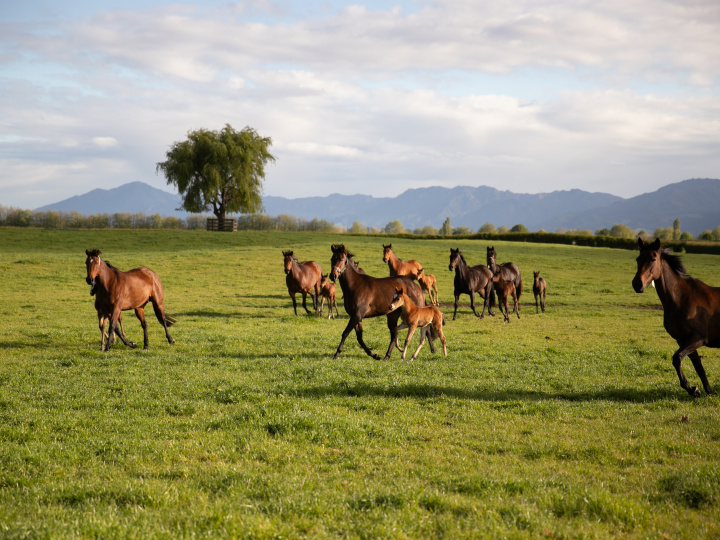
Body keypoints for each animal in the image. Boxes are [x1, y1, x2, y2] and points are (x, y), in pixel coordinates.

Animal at [632, 236, 716, 396]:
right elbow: (698, 366)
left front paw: (692, 388)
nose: (637, 284)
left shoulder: (699, 338)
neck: (682, 298)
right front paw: (703, 391)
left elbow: (677, 358)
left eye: (653, 259)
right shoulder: (683, 340)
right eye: (638, 259)